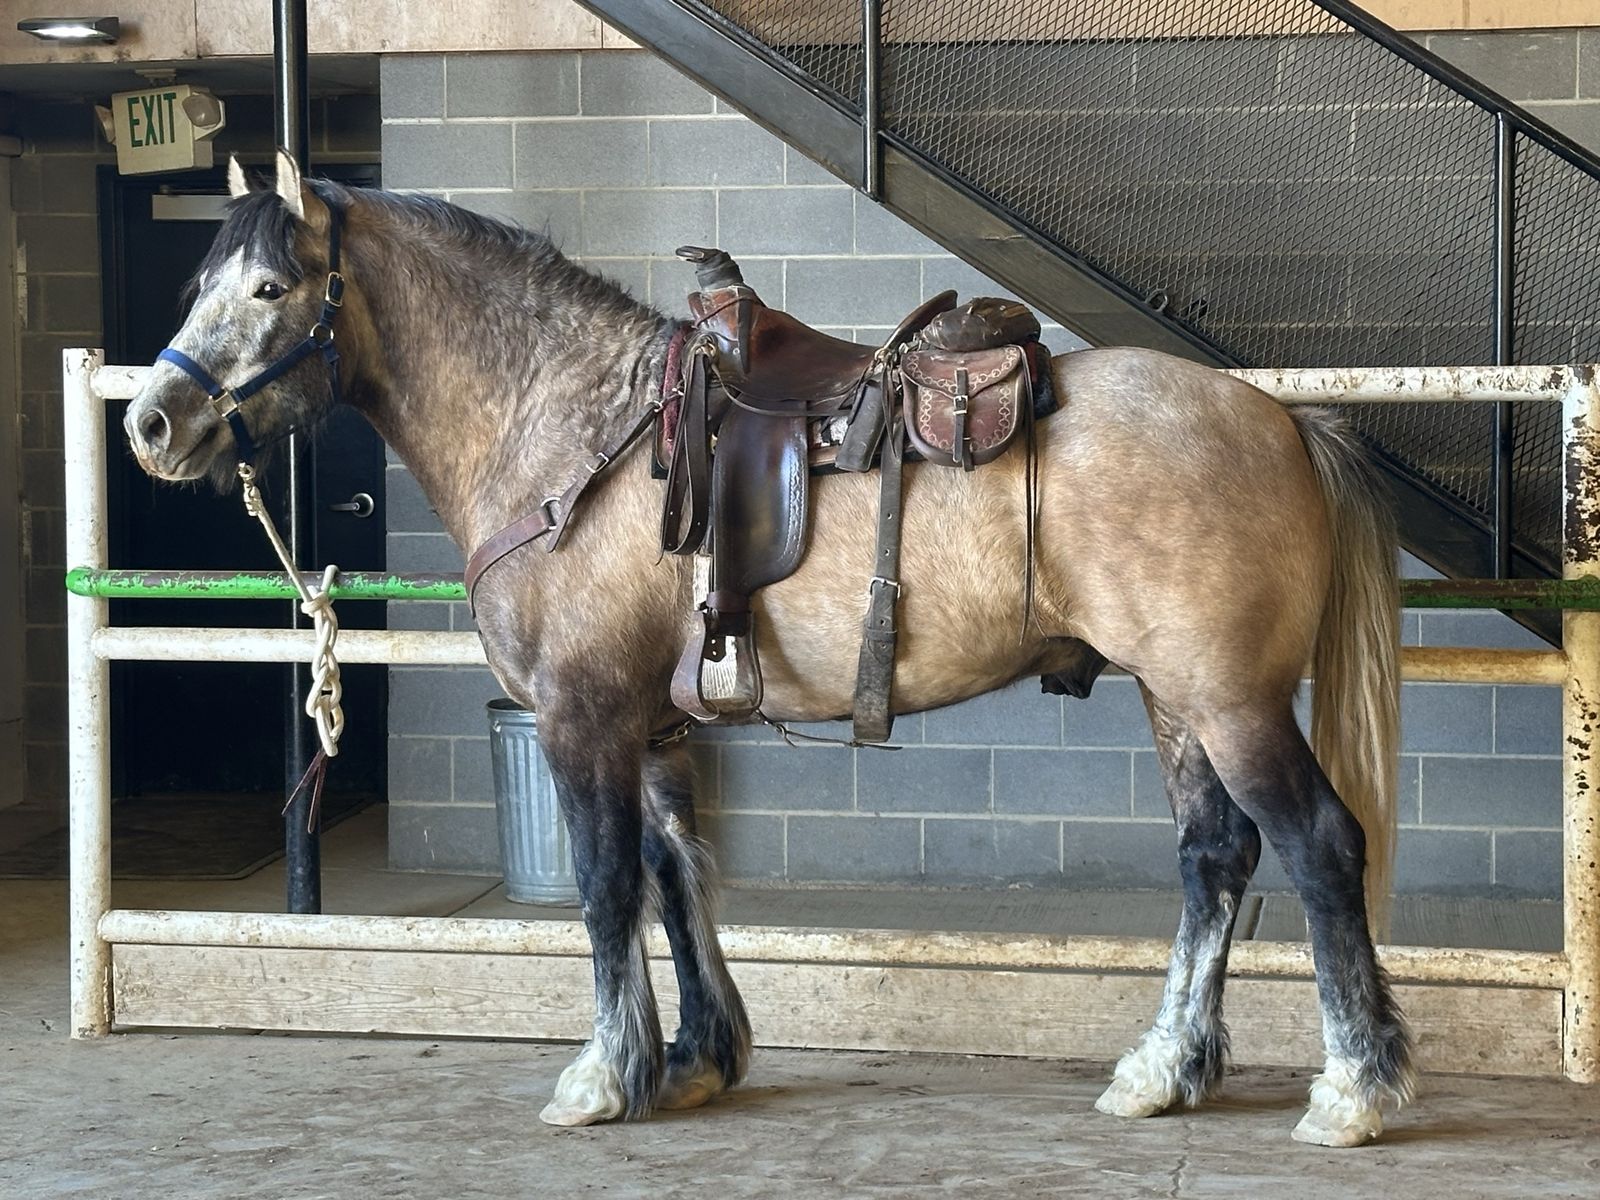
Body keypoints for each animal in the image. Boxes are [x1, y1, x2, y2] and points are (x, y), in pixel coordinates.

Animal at [123, 150, 1411, 1147]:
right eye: (202, 282)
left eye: (269, 285)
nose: (150, 423)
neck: (573, 433)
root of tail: (1277, 416)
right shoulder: (648, 727)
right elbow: (674, 878)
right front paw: (694, 1058)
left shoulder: (579, 717)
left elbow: (603, 888)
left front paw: (601, 1077)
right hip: (1175, 699)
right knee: (1214, 858)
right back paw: (1163, 1070)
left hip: (1227, 701)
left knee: (1316, 845)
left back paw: (1353, 1089)